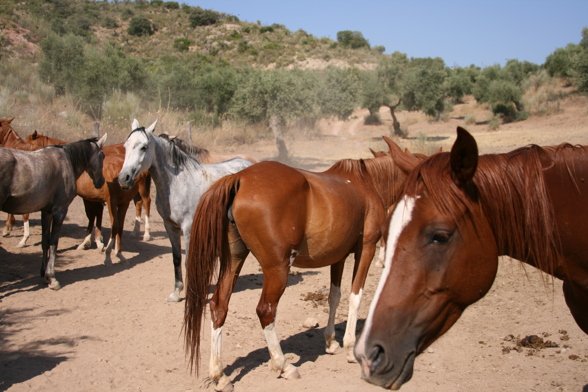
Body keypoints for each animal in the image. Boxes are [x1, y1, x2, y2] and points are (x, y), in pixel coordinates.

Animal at [184, 136, 408, 390]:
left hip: (233, 260)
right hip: (278, 270)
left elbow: (334, 296)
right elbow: (355, 296)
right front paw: (351, 347)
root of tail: (240, 178)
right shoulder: (366, 248)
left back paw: (219, 375)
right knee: (265, 311)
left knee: (219, 306)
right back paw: (283, 365)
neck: (366, 183)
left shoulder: (338, 257)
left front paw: (331, 342)